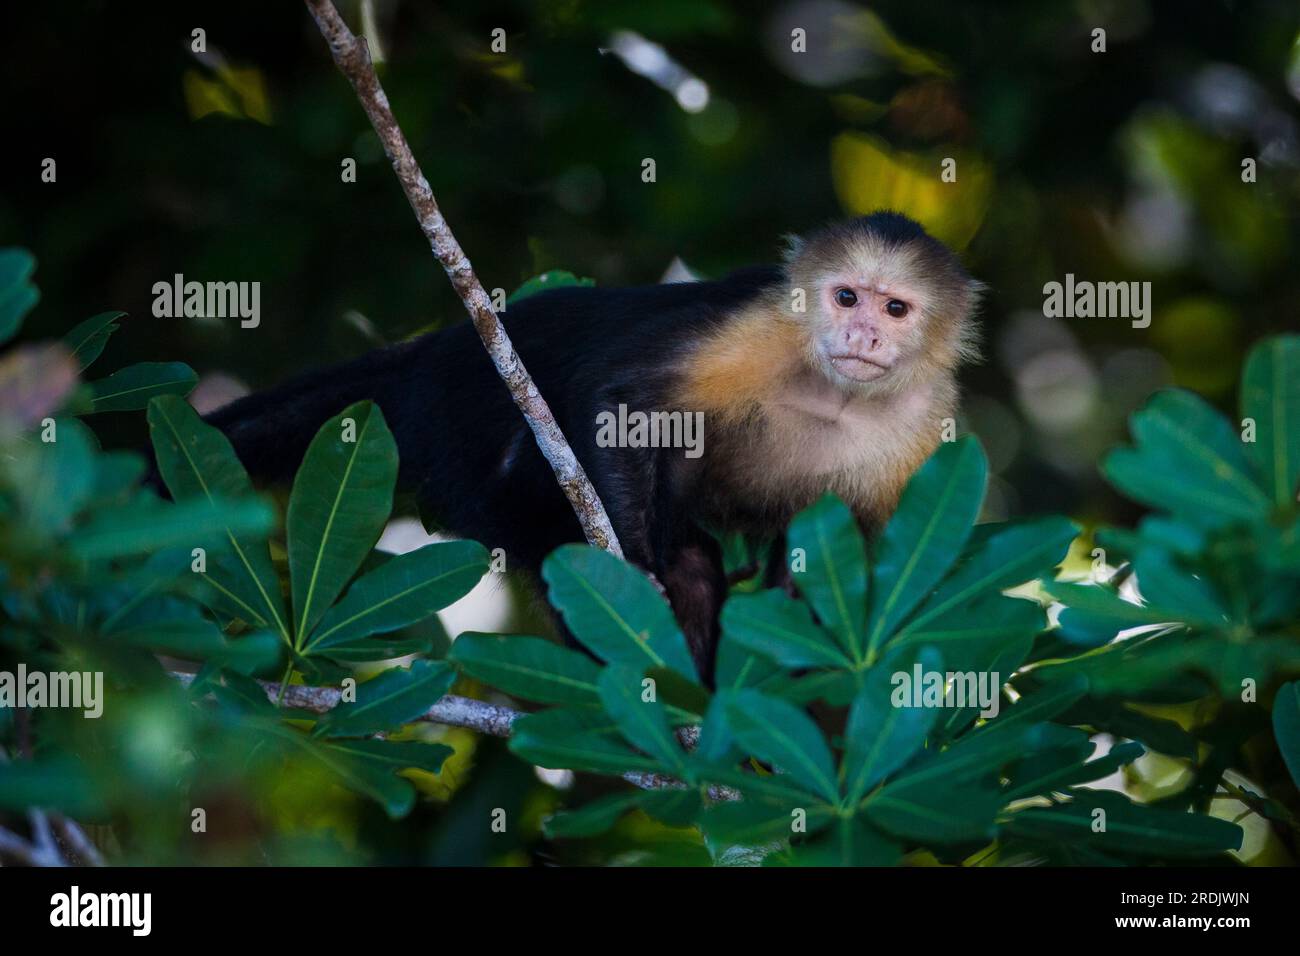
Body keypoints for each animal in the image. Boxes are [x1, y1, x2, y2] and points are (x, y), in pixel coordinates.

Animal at [202, 210, 977, 681]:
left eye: (895, 308)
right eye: (846, 297)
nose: (863, 334)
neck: (834, 391)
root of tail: (434, 357)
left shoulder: (927, 425)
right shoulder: (759, 325)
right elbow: (619, 397)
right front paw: (630, 566)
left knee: (698, 566)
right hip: (466, 431)